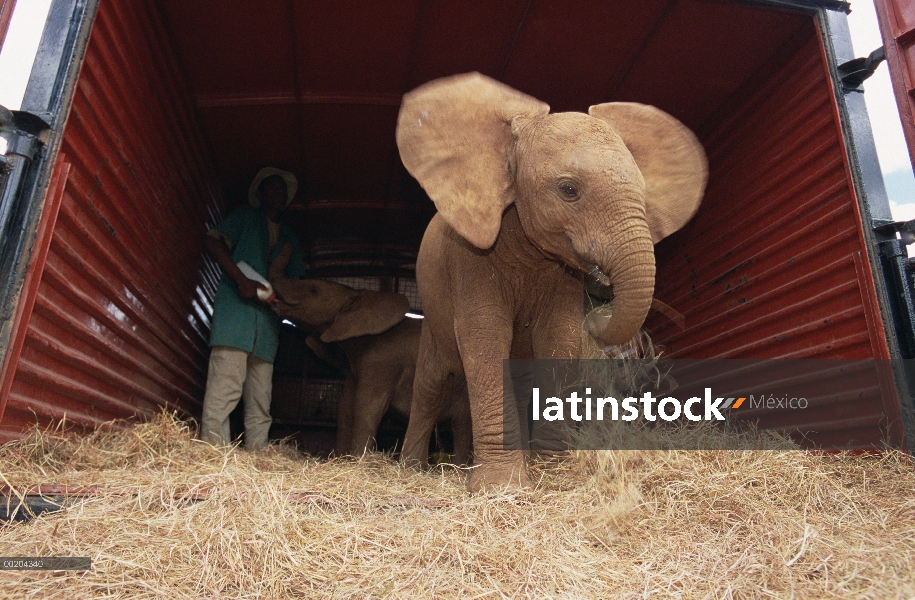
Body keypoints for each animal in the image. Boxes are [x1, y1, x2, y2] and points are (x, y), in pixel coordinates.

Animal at [266, 246, 468, 462]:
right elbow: (345, 405)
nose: (288, 244)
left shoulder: (382, 361)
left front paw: (358, 461)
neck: (359, 295)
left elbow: (366, 405)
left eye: (314, 290)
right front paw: (341, 459)